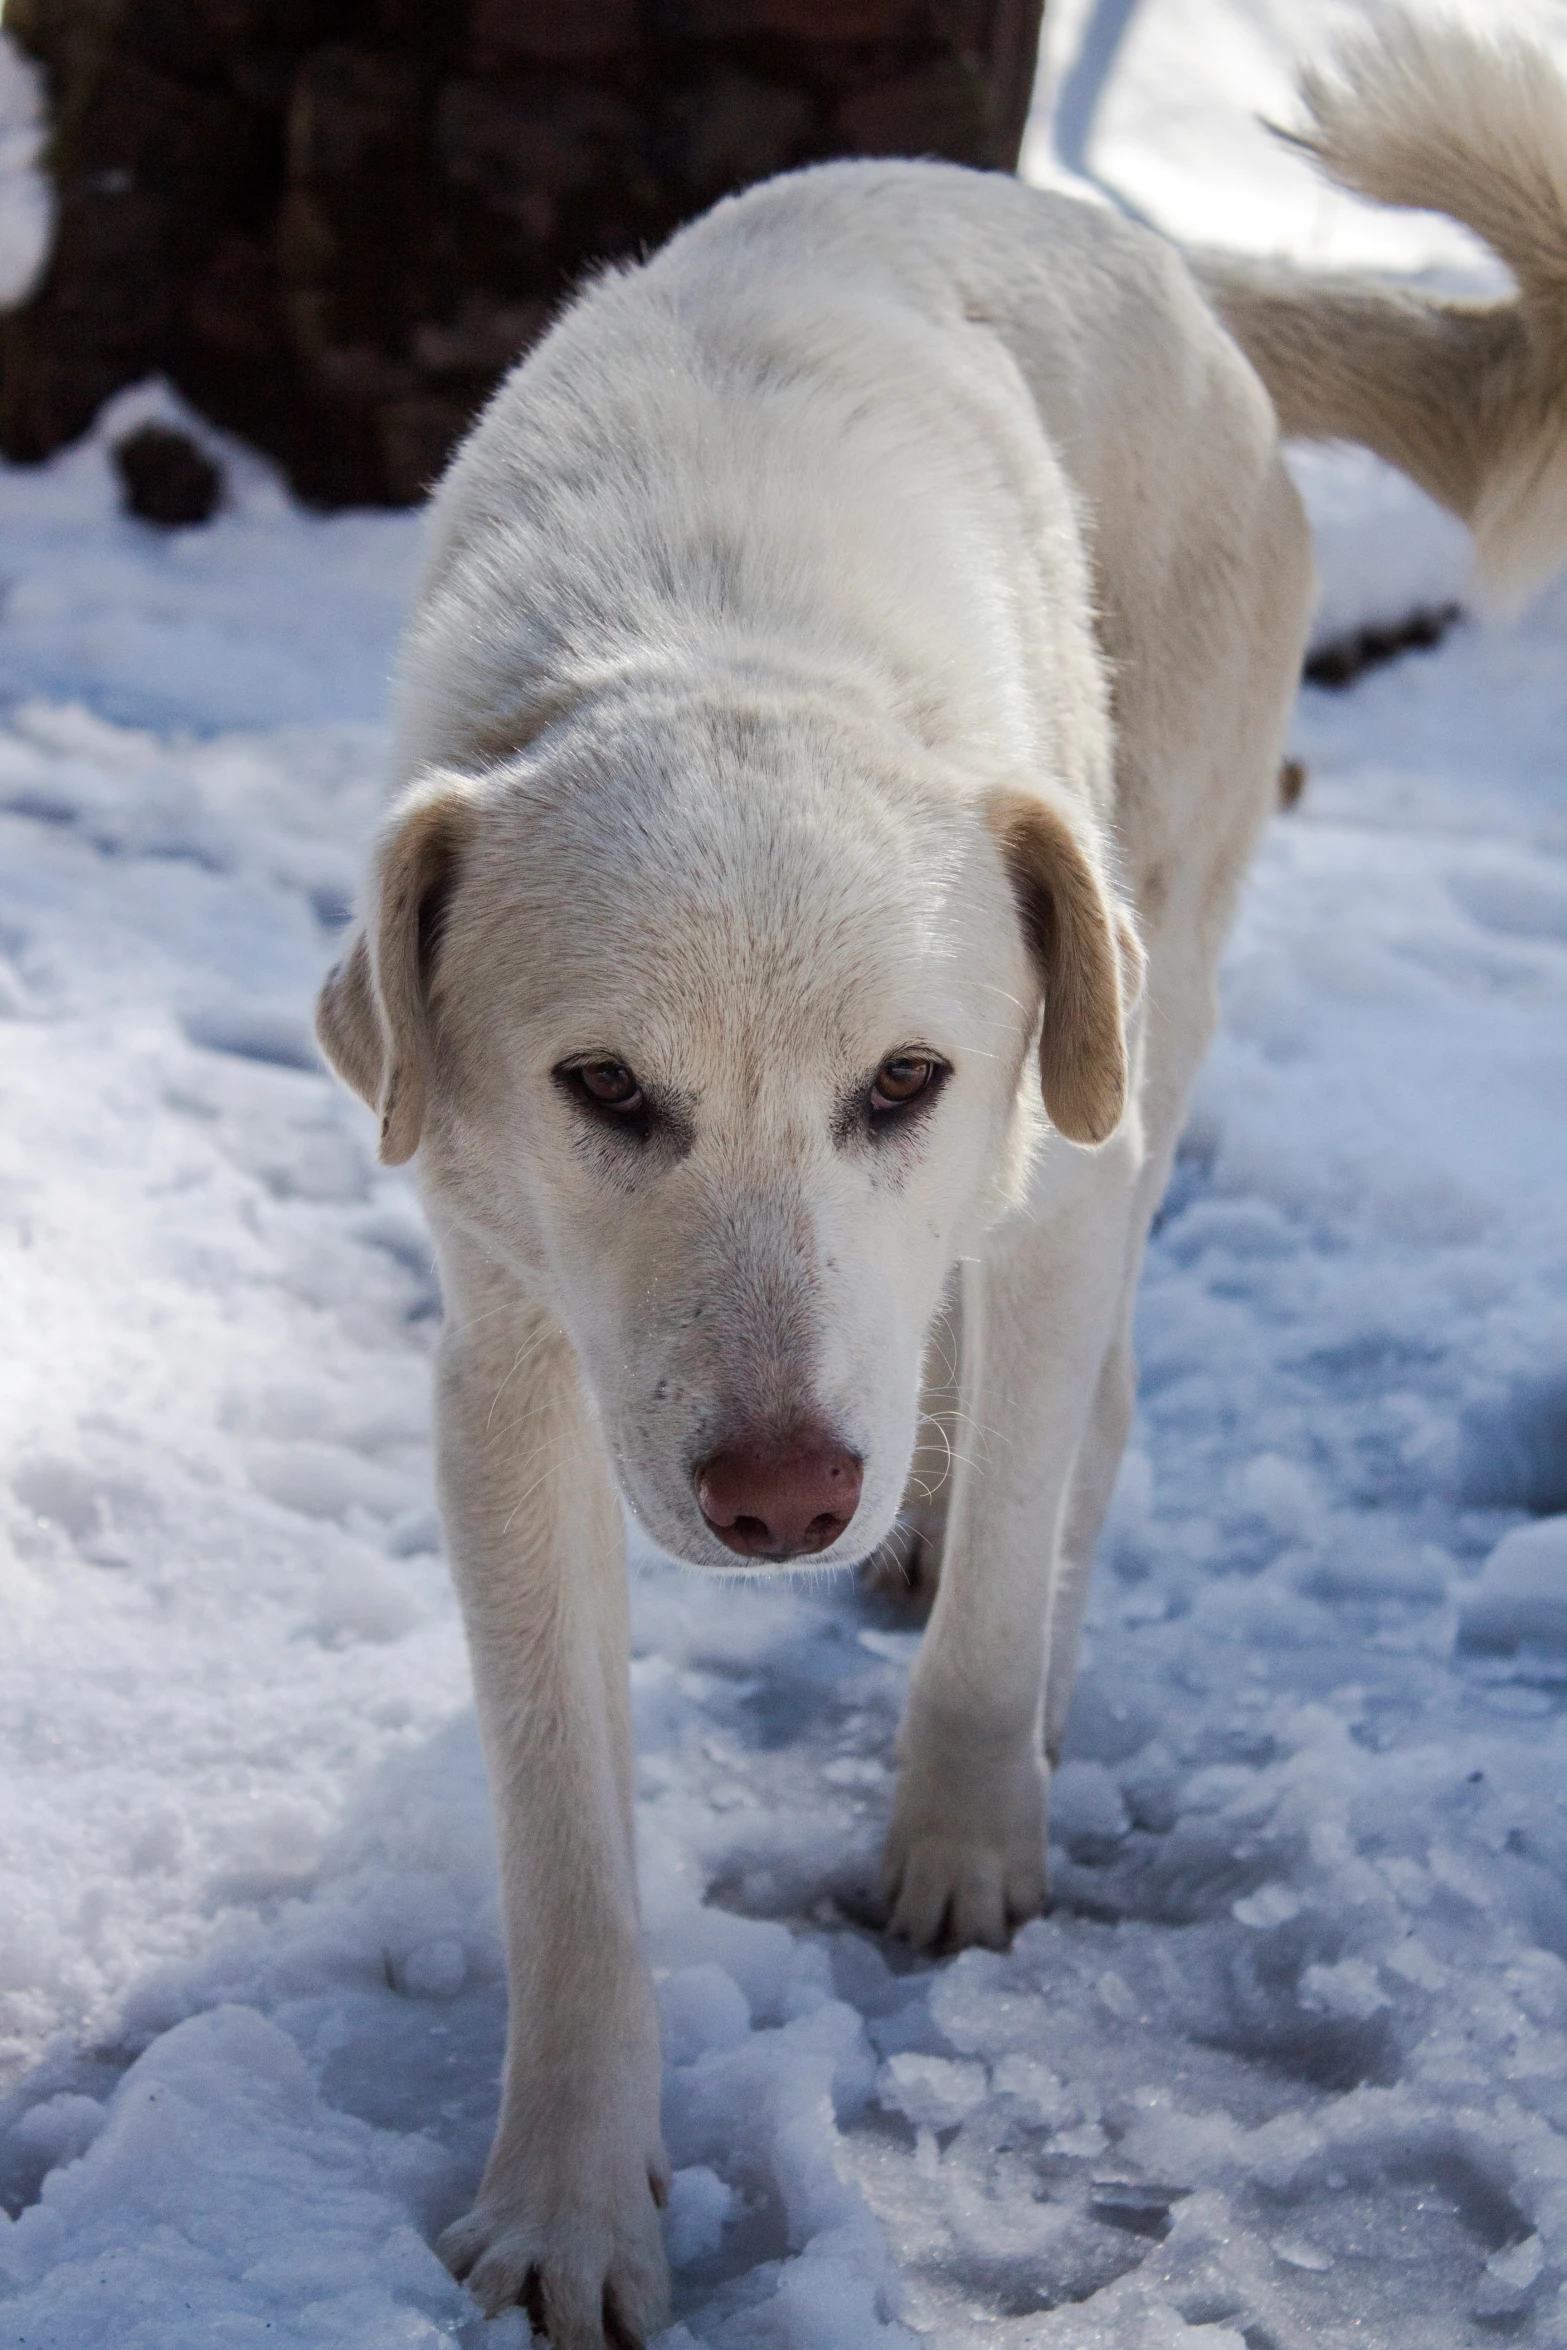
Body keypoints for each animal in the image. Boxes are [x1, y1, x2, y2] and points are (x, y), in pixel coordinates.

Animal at [314, 22, 1567, 2350]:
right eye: (603, 1088)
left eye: (900, 1076)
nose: (785, 1498)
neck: (725, 625)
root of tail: (1148, 259)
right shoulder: (509, 1361)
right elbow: (567, 1858)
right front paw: (568, 2210)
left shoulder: (1046, 1167)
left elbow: (996, 1594)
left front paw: (968, 1838)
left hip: (1139, 1032)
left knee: (1089, 1415)